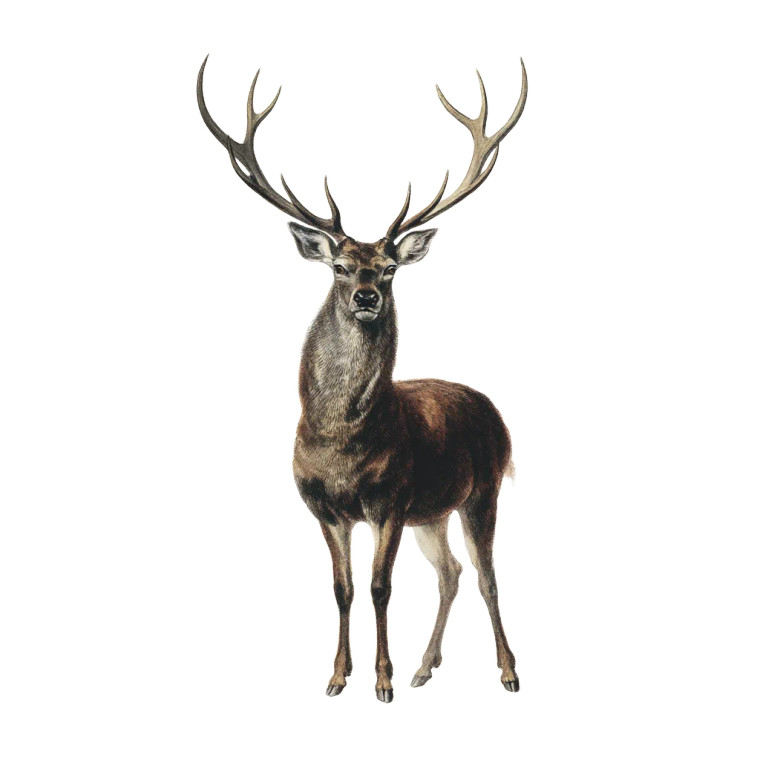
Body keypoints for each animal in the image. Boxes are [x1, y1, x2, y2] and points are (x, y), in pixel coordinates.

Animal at [197, 56, 527, 703]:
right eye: (340, 265)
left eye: (391, 267)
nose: (367, 296)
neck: (340, 443)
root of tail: (493, 410)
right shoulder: (326, 509)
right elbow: (342, 589)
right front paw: (337, 675)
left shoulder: (391, 501)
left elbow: (380, 588)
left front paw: (382, 680)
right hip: (435, 511)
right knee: (451, 573)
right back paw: (427, 666)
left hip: (482, 490)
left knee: (486, 576)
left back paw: (506, 671)